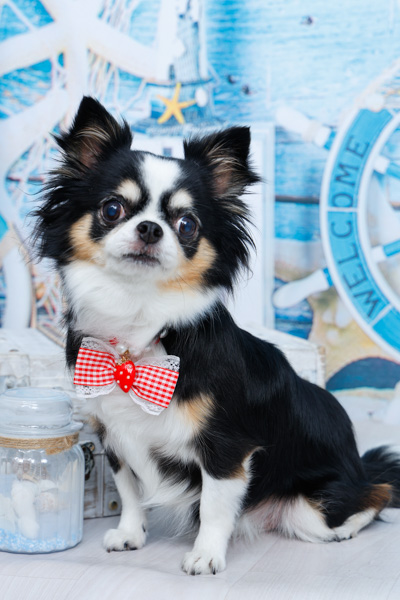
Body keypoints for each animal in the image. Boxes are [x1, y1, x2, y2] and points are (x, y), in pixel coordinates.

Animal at [34, 96, 400, 575]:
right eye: (112, 209)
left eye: (187, 224)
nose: (150, 228)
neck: (137, 332)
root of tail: (357, 465)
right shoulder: (115, 439)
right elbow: (130, 493)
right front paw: (131, 535)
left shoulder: (227, 451)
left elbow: (213, 506)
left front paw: (205, 556)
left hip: (315, 510)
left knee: (375, 496)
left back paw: (350, 524)